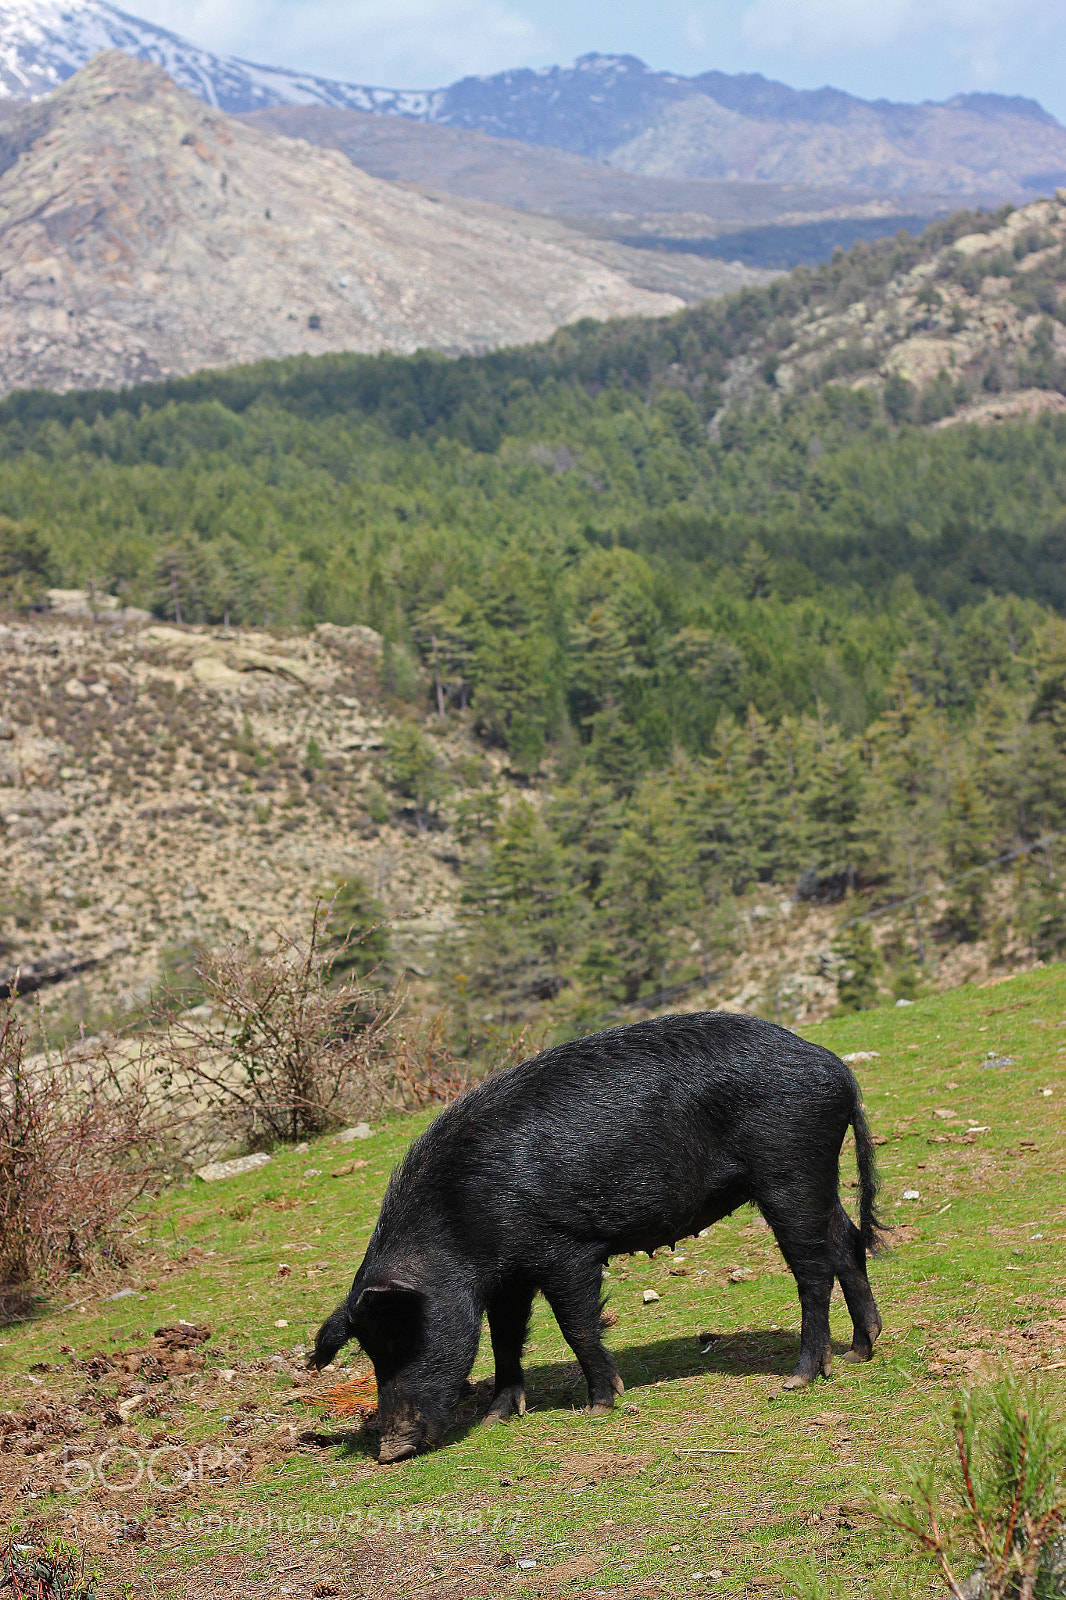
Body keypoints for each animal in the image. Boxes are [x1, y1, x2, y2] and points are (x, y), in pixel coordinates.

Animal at [310, 1011, 885, 1462]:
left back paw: (799, 1377)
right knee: (846, 1241)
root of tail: (837, 1069)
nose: (388, 1452)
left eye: (404, 1337)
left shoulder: (565, 1248)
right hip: (814, 1174)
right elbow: (504, 1337)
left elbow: (577, 1325)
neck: (459, 1227)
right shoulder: (509, 1276)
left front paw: (600, 1404)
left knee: (813, 1268)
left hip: (787, 1170)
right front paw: (498, 1416)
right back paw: (860, 1352)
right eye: (371, 1349)